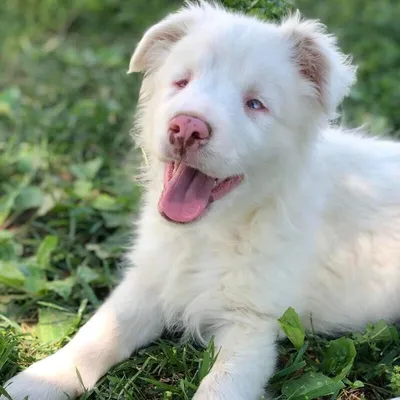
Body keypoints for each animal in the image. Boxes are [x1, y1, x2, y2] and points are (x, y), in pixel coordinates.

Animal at [3, 1, 400, 398]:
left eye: (254, 104)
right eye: (182, 82)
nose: (187, 128)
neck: (211, 231)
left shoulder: (252, 324)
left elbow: (219, 386)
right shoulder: (150, 279)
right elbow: (101, 331)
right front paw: (39, 380)